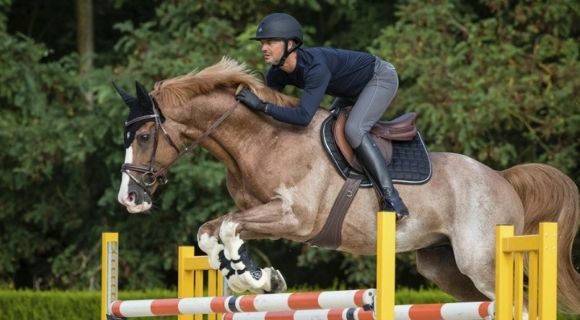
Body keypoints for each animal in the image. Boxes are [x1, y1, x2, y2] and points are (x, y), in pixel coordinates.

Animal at [114, 57, 580, 312]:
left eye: (144, 136)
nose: (130, 198)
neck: (263, 139)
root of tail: (502, 179)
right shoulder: (258, 213)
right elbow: (211, 233)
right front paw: (255, 278)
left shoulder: (294, 218)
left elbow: (227, 228)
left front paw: (254, 278)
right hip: (445, 267)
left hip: (480, 259)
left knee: (517, 303)